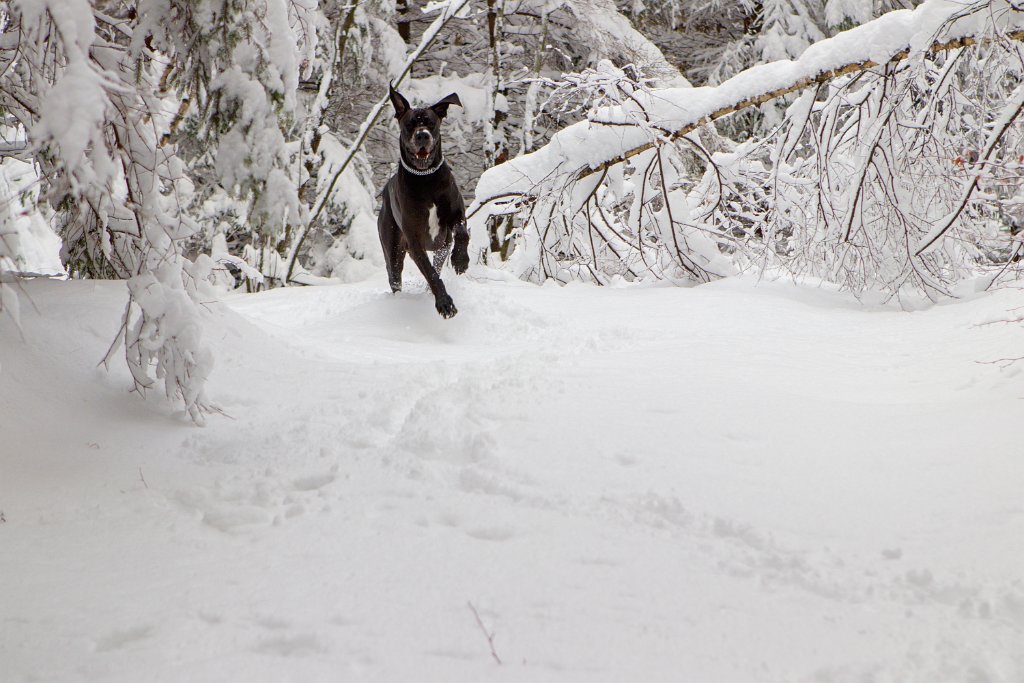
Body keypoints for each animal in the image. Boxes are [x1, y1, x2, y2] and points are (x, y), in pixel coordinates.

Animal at [378, 83, 468, 319]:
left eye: (431, 122)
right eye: (410, 124)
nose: (422, 136)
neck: (426, 178)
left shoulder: (456, 213)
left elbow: (462, 233)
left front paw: (460, 260)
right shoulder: (414, 239)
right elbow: (430, 273)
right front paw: (444, 303)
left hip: (441, 246)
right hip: (393, 250)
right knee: (395, 277)